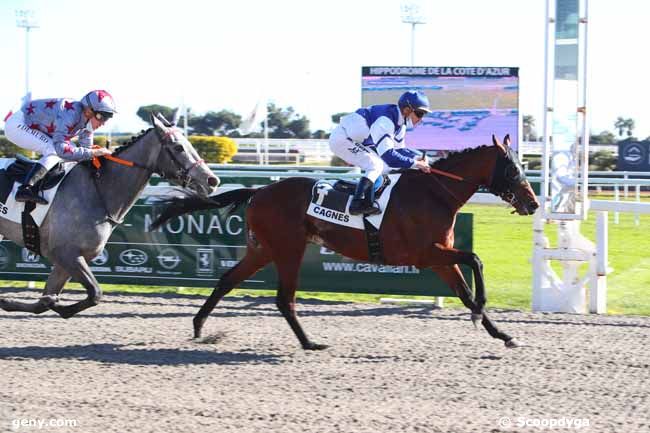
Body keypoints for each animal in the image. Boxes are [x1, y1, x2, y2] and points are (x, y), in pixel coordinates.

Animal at [0, 113, 218, 316]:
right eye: (178, 147)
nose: (212, 180)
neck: (98, 189)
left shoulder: (68, 260)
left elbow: (47, 302)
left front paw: (24, 302)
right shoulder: (66, 253)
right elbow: (95, 293)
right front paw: (53, 304)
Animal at [153, 136, 536, 352]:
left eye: (522, 166)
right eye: (512, 169)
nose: (532, 203)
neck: (434, 194)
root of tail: (260, 190)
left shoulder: (440, 259)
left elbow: (466, 290)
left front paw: (502, 334)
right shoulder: (426, 254)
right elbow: (476, 259)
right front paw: (482, 312)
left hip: (263, 249)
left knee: (227, 280)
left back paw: (199, 327)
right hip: (288, 249)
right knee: (284, 299)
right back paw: (309, 343)